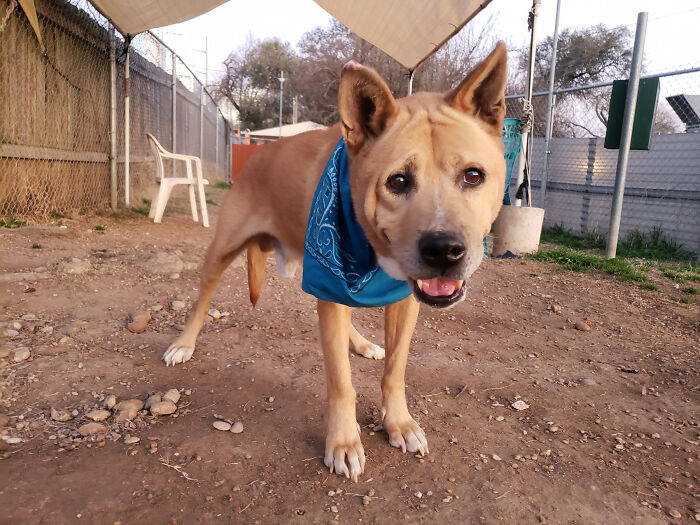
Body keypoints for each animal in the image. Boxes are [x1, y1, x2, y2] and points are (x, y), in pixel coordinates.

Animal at [162, 43, 506, 482]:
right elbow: (341, 382)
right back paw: (182, 345)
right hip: (226, 251)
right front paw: (343, 443)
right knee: (202, 297)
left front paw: (399, 422)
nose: (445, 251)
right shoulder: (330, 284)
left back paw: (360, 342)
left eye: (473, 176)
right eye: (397, 181)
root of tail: (260, 153)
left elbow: (395, 370)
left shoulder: (402, 300)